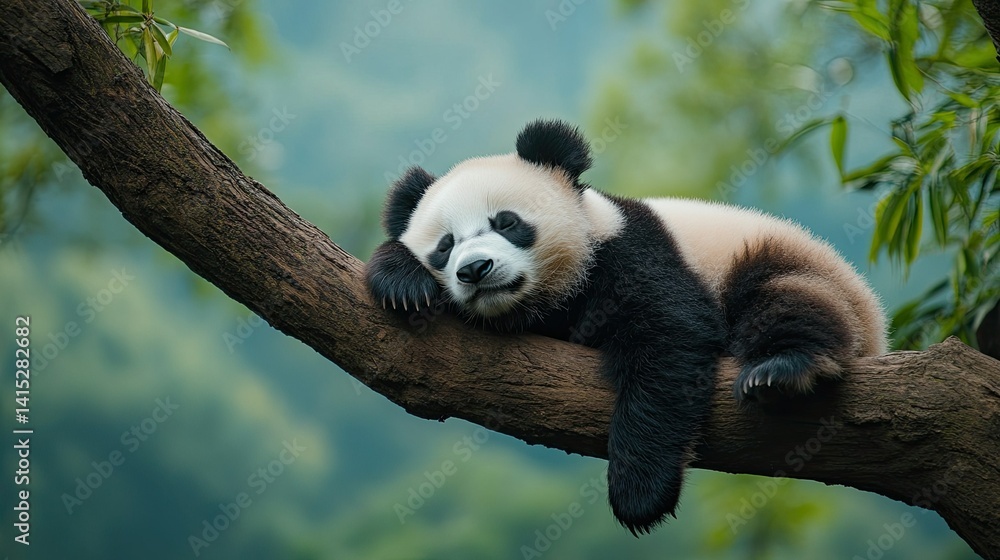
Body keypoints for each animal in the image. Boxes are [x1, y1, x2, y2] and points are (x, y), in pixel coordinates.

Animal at [365, 119, 887, 535]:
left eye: (507, 222)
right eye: (444, 245)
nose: (474, 269)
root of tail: (876, 324)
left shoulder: (632, 254)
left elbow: (669, 341)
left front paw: (639, 494)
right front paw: (403, 281)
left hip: (787, 263)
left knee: (790, 301)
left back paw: (783, 368)